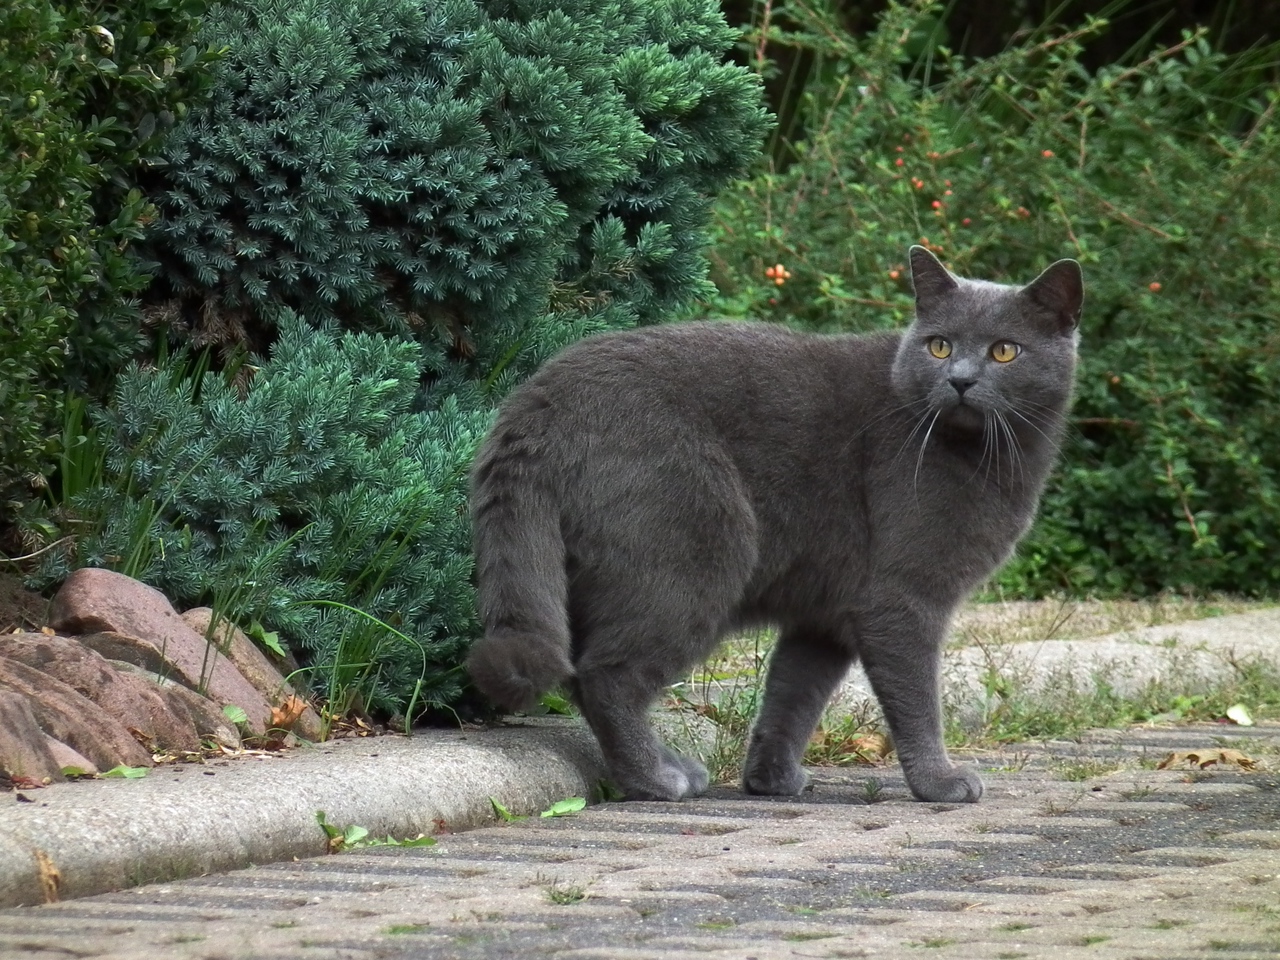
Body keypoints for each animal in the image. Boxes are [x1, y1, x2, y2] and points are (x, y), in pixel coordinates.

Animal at [465, 245, 1085, 803]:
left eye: (1004, 351)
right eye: (940, 345)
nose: (958, 379)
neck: (993, 457)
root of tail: (537, 400)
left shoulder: (826, 614)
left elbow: (793, 695)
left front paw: (770, 779)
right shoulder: (902, 596)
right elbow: (916, 700)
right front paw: (939, 782)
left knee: (583, 673)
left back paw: (672, 768)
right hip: (699, 552)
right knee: (605, 675)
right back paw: (657, 781)